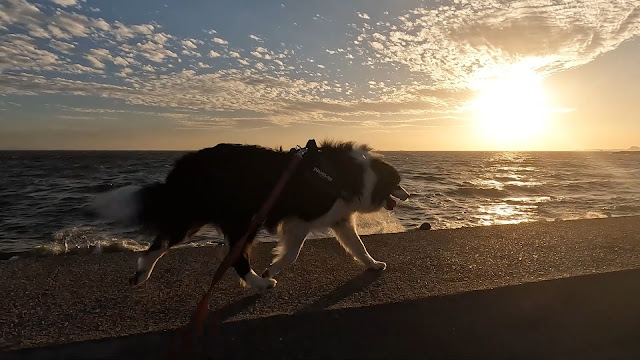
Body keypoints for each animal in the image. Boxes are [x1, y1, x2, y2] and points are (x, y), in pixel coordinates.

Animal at [91, 141, 410, 290]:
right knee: (235, 258)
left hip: (197, 216)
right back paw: (260, 282)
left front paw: (373, 264)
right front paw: (272, 269)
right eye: (398, 183)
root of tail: (184, 165)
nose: (407, 195)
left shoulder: (339, 219)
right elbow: (292, 253)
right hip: (241, 218)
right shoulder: (300, 221)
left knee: (160, 242)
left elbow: (359, 246)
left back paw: (141, 274)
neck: (356, 176)